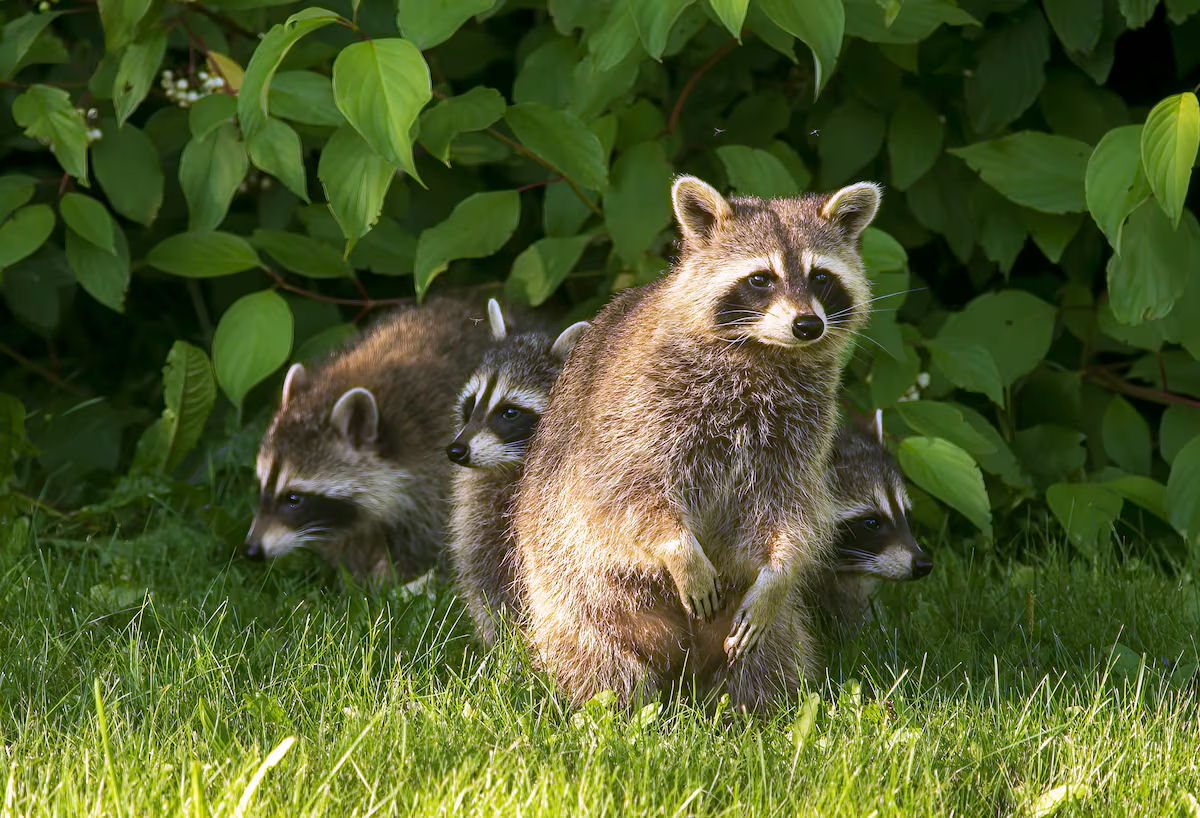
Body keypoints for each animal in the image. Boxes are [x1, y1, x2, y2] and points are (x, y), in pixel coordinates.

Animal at [444, 297, 588, 642]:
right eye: (471, 403)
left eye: (510, 412)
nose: (456, 451)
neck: (511, 467)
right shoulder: (480, 511)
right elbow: (484, 574)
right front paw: (503, 642)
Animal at [511, 173, 878, 705]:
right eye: (760, 278)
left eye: (821, 278)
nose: (808, 325)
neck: (763, 354)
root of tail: (681, 671)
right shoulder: (636, 410)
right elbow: (622, 494)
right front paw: (678, 549)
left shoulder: (801, 434)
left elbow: (792, 510)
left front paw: (780, 571)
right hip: (575, 601)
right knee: (598, 661)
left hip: (754, 631)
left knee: (769, 656)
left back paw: (750, 707)